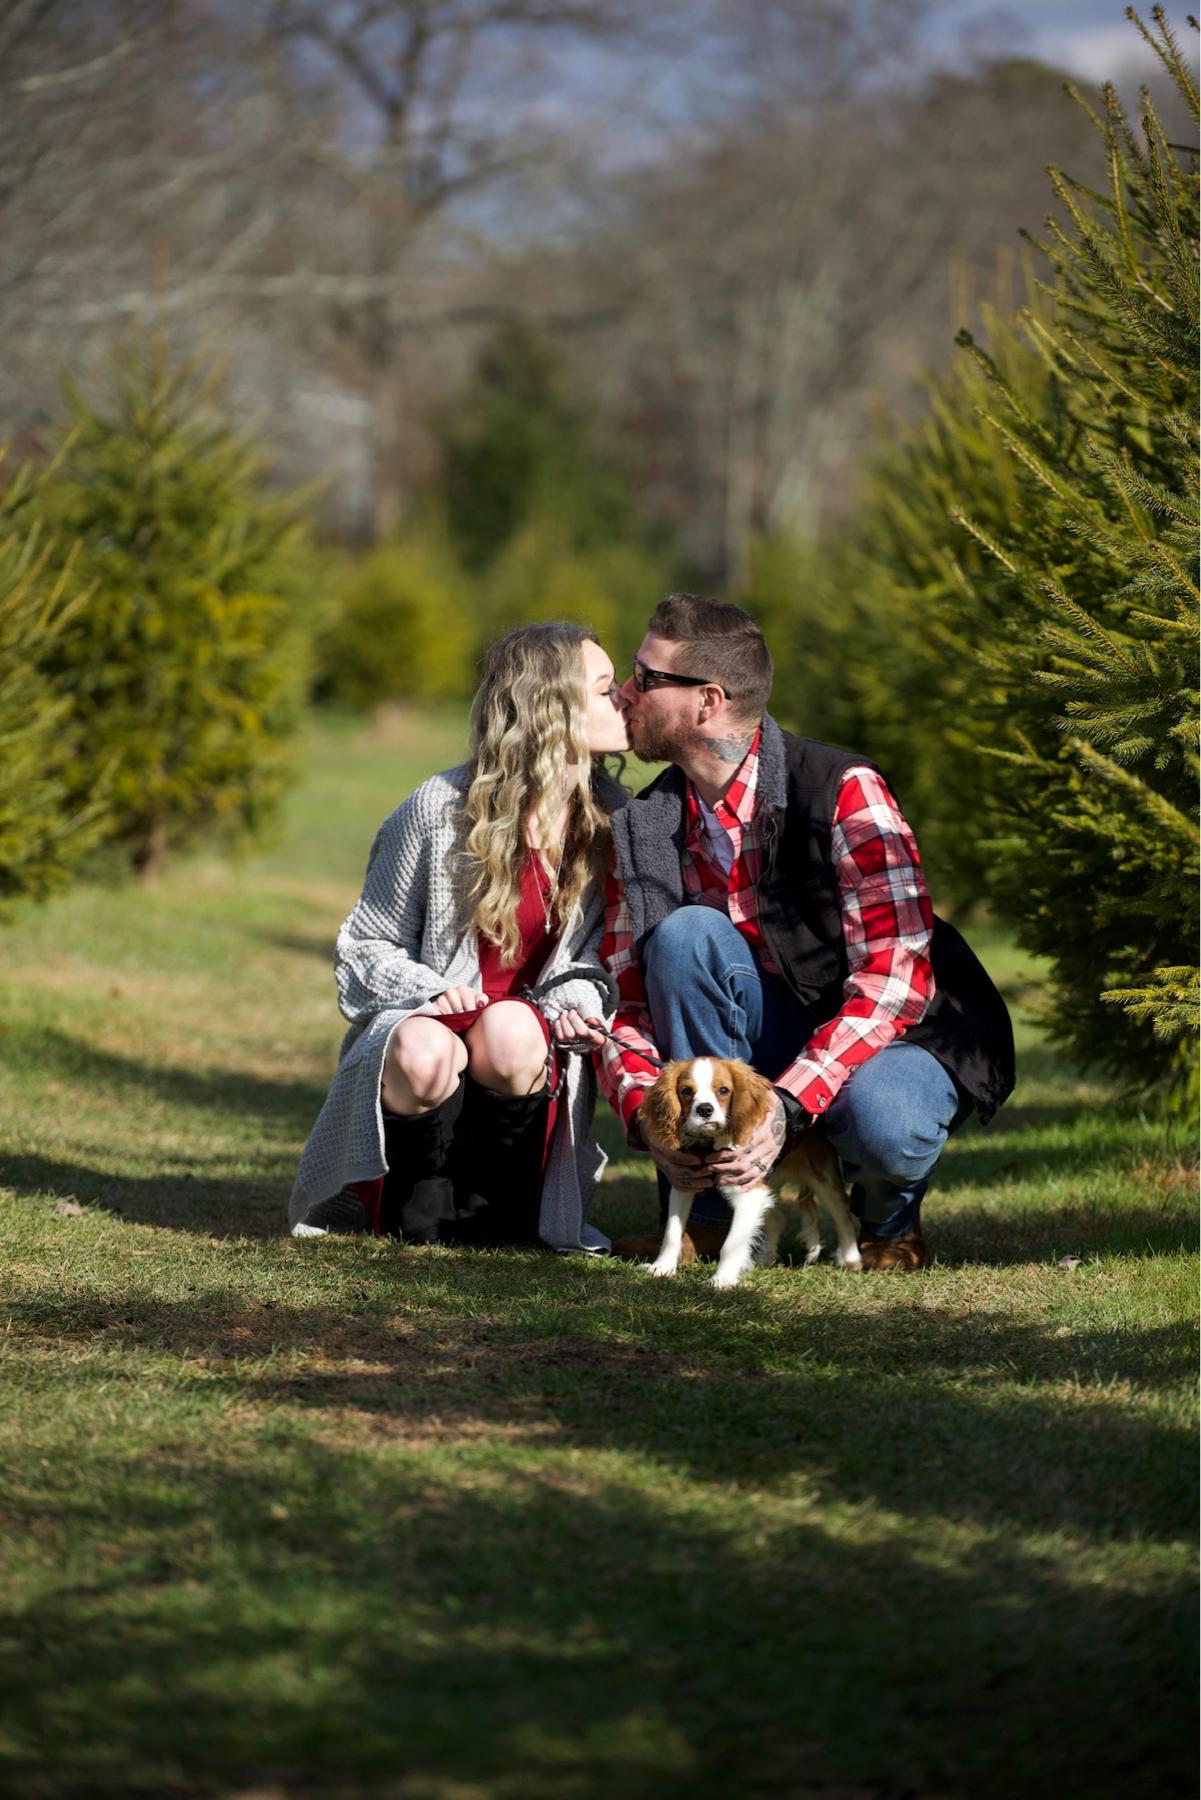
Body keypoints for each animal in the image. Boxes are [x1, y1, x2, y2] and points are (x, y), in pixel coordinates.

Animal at [639, 1057, 862, 1289]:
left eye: (724, 1090)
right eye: (686, 1091)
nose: (705, 1109)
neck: (709, 1145)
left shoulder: (748, 1192)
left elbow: (731, 1243)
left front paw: (722, 1279)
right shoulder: (685, 1181)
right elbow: (672, 1232)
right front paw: (662, 1267)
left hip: (822, 1176)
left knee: (843, 1214)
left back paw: (851, 1259)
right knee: (777, 1219)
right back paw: (764, 1258)